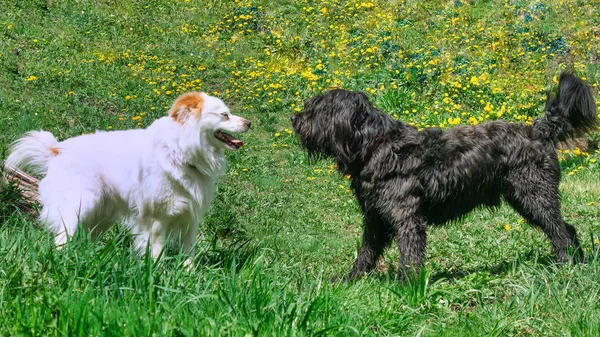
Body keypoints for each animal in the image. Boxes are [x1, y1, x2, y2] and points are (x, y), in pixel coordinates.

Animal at [5, 92, 248, 260]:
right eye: (224, 115)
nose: (250, 123)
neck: (181, 152)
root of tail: (56, 150)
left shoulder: (189, 218)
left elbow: (188, 255)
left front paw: (188, 278)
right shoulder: (155, 220)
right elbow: (156, 252)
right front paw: (158, 276)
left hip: (100, 217)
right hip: (80, 207)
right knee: (61, 239)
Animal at [290, 73, 596, 280]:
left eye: (317, 109)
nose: (294, 119)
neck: (379, 146)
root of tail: (539, 130)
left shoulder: (407, 217)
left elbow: (410, 255)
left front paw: (409, 288)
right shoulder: (375, 218)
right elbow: (365, 252)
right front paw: (350, 280)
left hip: (534, 197)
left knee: (561, 232)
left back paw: (565, 266)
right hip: (527, 200)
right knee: (567, 229)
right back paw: (575, 263)